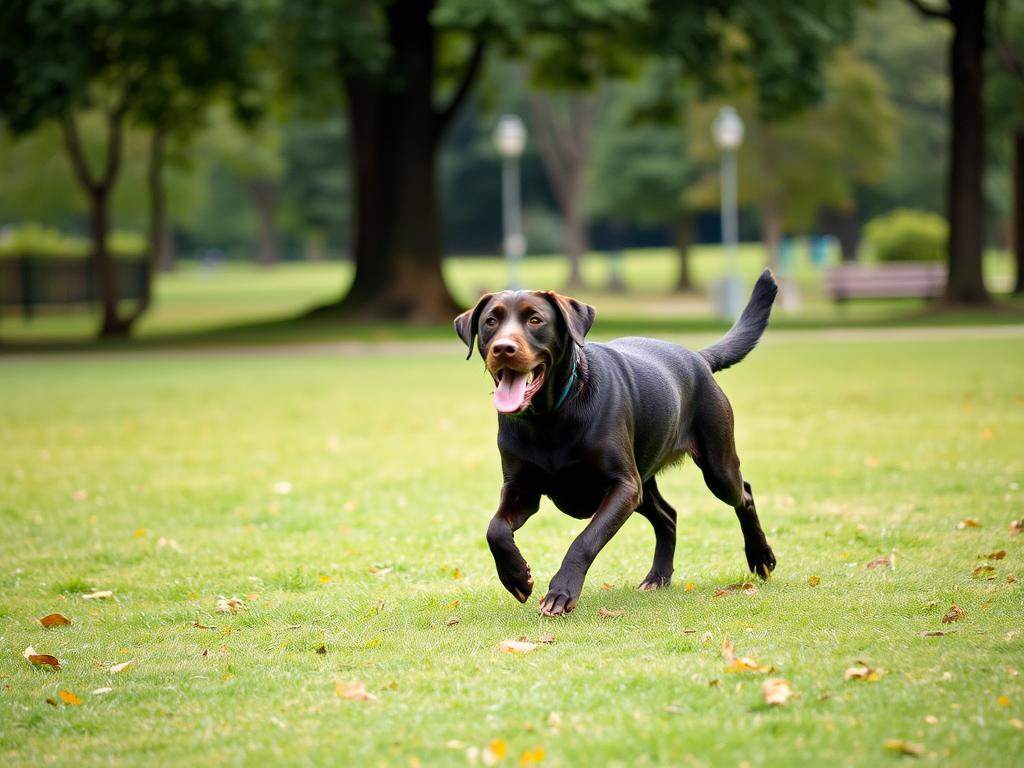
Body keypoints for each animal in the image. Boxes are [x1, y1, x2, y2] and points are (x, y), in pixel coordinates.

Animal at [452, 268, 778, 618]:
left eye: (535, 320)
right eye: (490, 321)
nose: (503, 348)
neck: (549, 417)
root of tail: (697, 358)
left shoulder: (623, 486)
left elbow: (584, 540)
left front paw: (561, 592)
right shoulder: (521, 487)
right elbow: (495, 529)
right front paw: (516, 577)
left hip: (715, 466)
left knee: (743, 493)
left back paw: (761, 557)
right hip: (646, 481)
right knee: (668, 516)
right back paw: (658, 576)